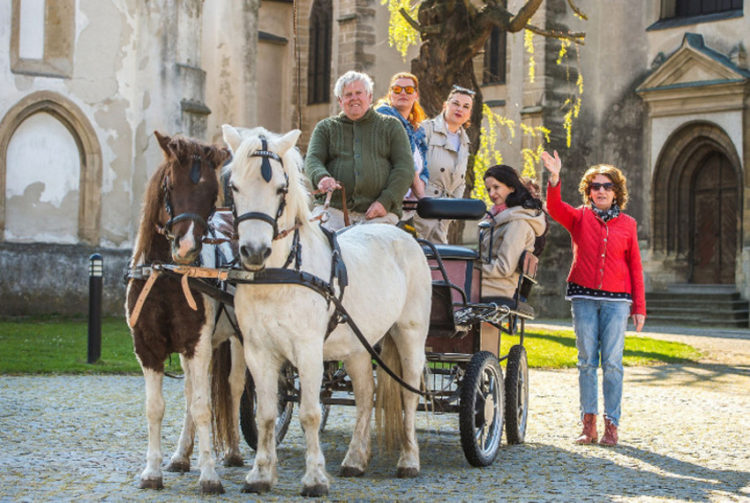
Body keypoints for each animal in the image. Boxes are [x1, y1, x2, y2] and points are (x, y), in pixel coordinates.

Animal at [128, 131, 245, 496]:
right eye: (170, 185)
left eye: (210, 193)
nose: (186, 248)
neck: (165, 275)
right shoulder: (148, 347)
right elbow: (156, 408)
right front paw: (152, 471)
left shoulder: (198, 344)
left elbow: (204, 407)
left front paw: (209, 475)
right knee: (193, 389)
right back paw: (181, 455)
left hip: (239, 338)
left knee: (234, 387)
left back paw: (234, 452)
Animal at [223, 125, 432, 496]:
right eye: (234, 186)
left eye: (280, 188)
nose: (255, 251)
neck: (279, 274)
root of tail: (402, 234)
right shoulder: (258, 351)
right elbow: (266, 413)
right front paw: (260, 475)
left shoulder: (308, 350)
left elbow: (309, 413)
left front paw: (315, 478)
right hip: (359, 346)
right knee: (365, 395)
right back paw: (355, 460)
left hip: (410, 336)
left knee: (408, 394)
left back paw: (408, 460)